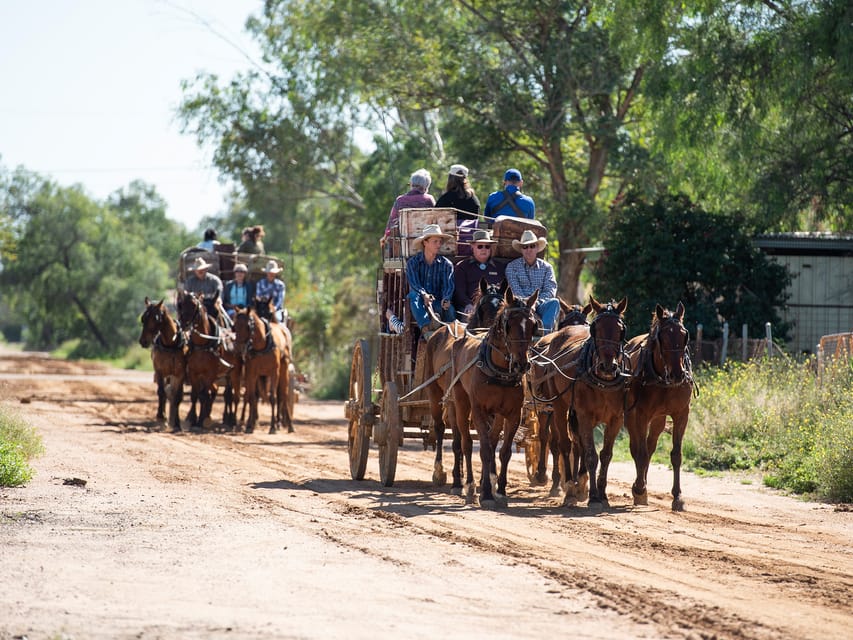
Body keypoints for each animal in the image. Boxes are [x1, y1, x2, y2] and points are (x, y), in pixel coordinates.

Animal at [138, 298, 186, 430]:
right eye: (143, 318)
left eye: (156, 318)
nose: (143, 341)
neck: (171, 344)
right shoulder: (159, 370)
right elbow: (161, 392)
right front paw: (161, 416)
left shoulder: (180, 374)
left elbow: (177, 397)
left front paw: (177, 424)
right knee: (165, 392)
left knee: (172, 394)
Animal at [176, 292, 230, 432]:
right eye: (181, 304)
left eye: (194, 305)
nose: (184, 324)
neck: (202, 344)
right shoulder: (194, 373)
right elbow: (195, 395)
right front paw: (193, 419)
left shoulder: (209, 374)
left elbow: (204, 395)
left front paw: (201, 421)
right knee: (213, 391)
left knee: (226, 394)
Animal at [442, 288, 536, 504]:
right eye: (509, 325)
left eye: (533, 325)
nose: (521, 364)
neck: (500, 371)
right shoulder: (479, 410)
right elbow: (484, 450)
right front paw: (485, 493)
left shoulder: (513, 413)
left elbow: (504, 451)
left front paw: (499, 490)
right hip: (460, 403)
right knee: (465, 443)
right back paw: (468, 485)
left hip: (498, 414)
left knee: (492, 443)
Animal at [528, 296, 628, 510]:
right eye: (596, 329)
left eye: (620, 330)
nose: (608, 366)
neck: (602, 380)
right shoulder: (584, 414)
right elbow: (590, 454)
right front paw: (593, 497)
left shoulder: (616, 418)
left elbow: (605, 455)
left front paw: (601, 494)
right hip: (556, 405)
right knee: (562, 443)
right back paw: (568, 488)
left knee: (574, 444)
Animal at [624, 304, 696, 510]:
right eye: (662, 337)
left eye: (684, 335)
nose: (678, 374)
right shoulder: (641, 414)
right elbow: (640, 453)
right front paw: (639, 488)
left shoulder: (682, 414)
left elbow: (676, 455)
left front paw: (678, 496)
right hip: (632, 417)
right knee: (637, 448)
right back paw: (640, 487)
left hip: (658, 419)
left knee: (650, 446)